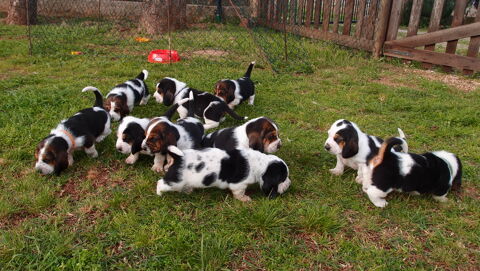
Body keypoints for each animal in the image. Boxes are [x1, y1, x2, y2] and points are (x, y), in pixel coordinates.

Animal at [158, 147, 292, 202]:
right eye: (283, 178)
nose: (290, 183)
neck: (261, 164)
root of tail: (178, 158)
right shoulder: (239, 184)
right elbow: (239, 193)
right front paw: (245, 199)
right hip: (175, 182)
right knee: (160, 183)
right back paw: (159, 194)